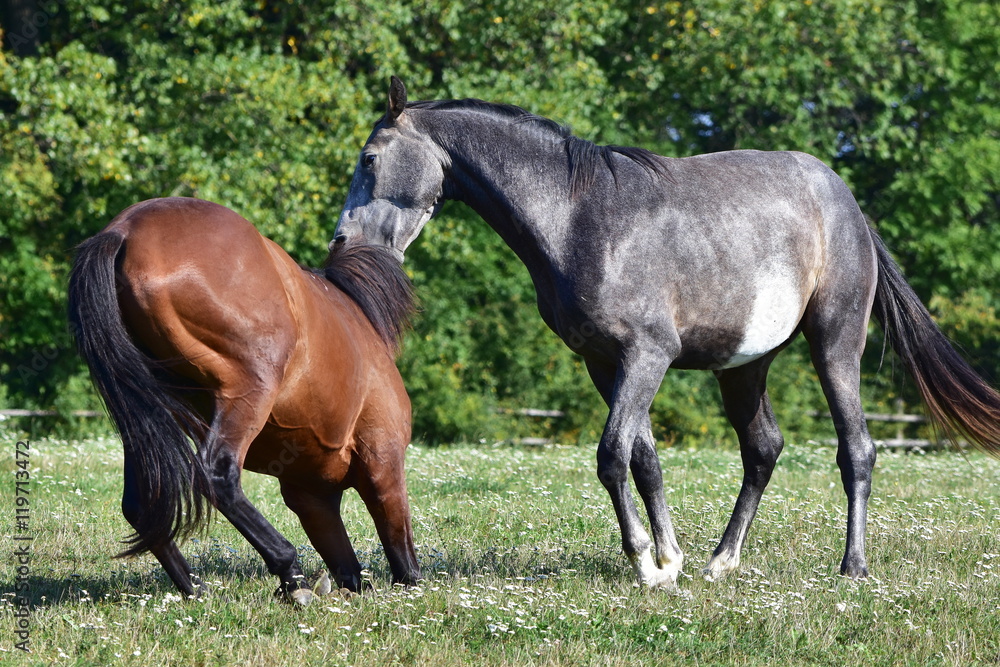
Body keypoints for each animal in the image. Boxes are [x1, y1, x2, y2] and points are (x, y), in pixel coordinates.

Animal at [66, 198, 418, 604]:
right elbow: (402, 554)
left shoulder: (310, 494)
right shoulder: (382, 461)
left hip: (148, 412)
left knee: (141, 506)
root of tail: (122, 232)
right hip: (247, 392)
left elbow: (349, 568)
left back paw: (196, 589)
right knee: (216, 474)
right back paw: (290, 574)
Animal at [332, 77, 1000, 588]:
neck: (580, 215)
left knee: (856, 448)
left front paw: (645, 566)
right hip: (745, 366)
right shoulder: (605, 362)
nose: (341, 243)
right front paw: (669, 559)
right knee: (763, 449)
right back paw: (721, 562)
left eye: (369, 158)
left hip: (834, 343)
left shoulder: (647, 355)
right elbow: (644, 459)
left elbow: (611, 455)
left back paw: (852, 568)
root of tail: (851, 207)